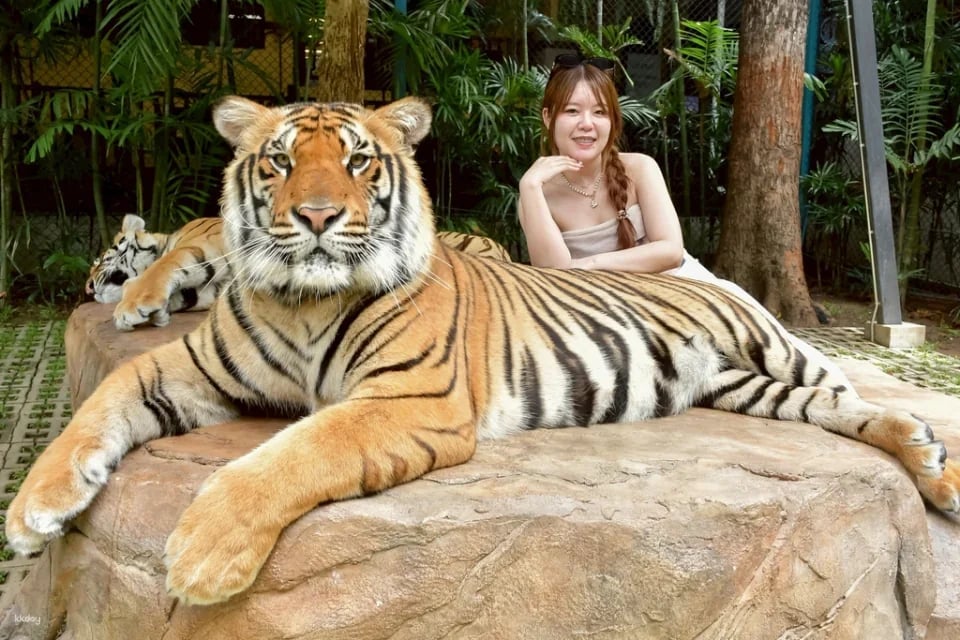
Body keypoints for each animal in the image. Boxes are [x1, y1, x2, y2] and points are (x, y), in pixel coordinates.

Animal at [88, 217, 510, 332]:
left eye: (98, 259)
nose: (88, 288)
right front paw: (155, 311)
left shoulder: (202, 247)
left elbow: (163, 267)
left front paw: (133, 306)